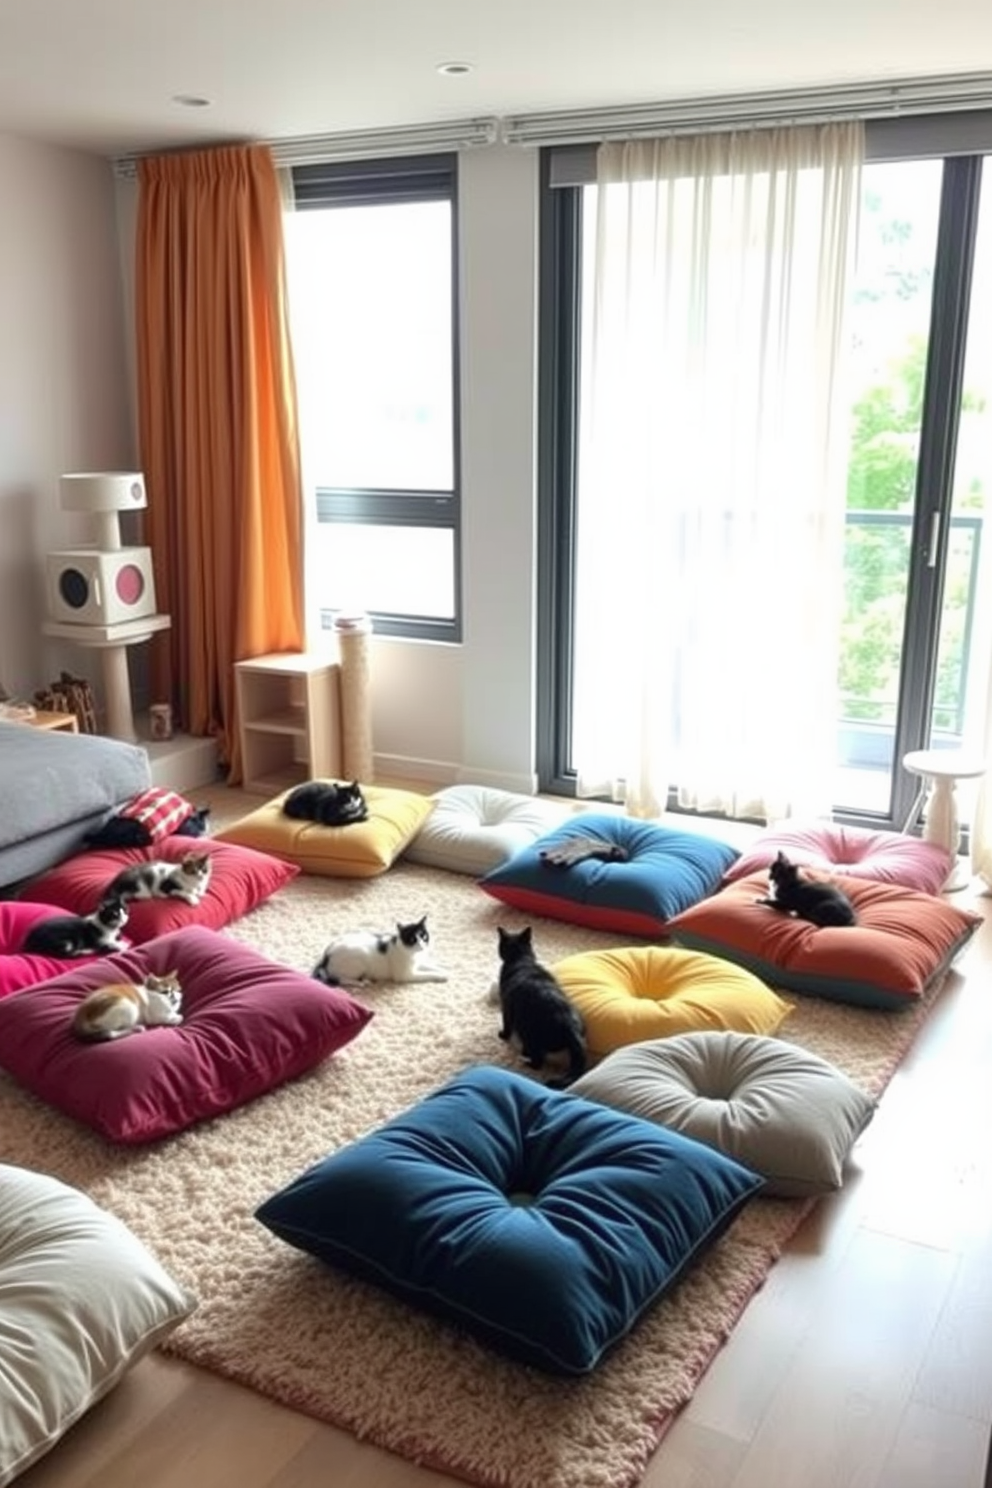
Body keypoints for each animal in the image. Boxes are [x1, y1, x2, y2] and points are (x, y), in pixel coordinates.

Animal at [312, 910, 449, 982]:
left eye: (424, 936)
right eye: (412, 939)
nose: (422, 945)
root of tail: (326, 955)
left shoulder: (419, 962)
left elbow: (431, 965)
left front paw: (444, 967)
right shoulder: (405, 976)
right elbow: (427, 974)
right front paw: (441, 975)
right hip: (358, 961)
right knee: (340, 978)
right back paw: (362, 982)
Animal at [493, 922, 585, 1089]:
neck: (521, 959)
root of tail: (570, 1027)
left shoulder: (506, 1007)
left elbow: (506, 1024)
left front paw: (503, 1035)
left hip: (528, 1033)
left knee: (538, 1061)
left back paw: (524, 1060)